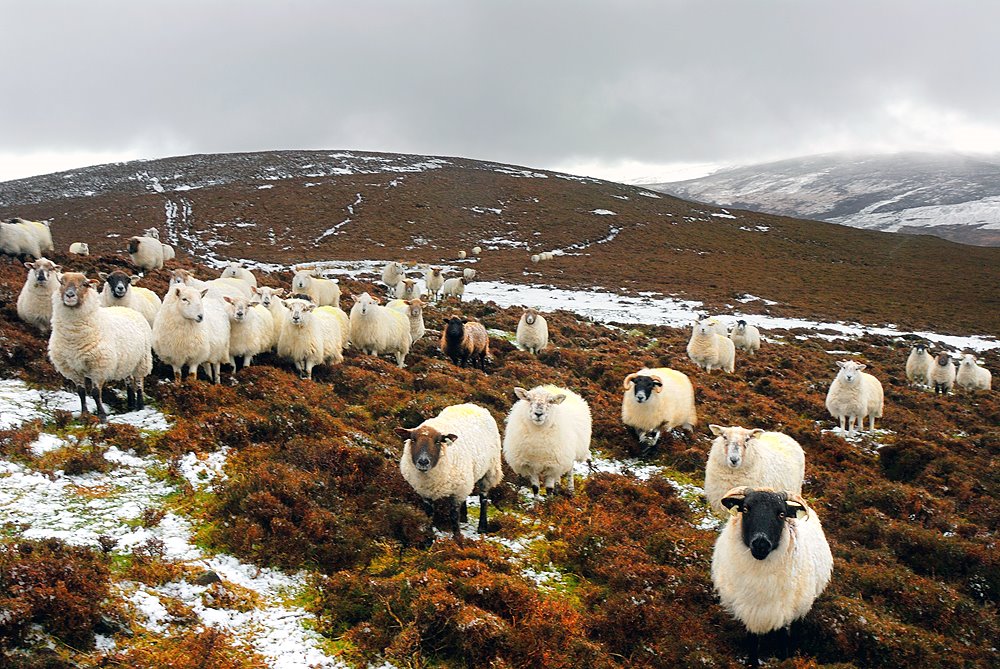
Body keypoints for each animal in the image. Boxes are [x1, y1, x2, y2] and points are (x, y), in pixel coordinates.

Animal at [48, 270, 153, 418]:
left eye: (84, 284)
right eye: (61, 283)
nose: (69, 295)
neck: (73, 338)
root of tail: (126, 309)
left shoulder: (99, 366)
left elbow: (95, 393)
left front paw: (102, 416)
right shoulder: (72, 369)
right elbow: (81, 392)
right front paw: (84, 415)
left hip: (142, 360)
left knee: (139, 383)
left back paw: (140, 406)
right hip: (127, 360)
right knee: (128, 381)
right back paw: (131, 404)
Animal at [390, 402, 500, 536]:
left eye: (437, 441)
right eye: (413, 439)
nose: (423, 462)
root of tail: (472, 405)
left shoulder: (457, 493)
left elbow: (454, 515)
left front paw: (458, 538)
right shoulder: (425, 492)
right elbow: (429, 515)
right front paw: (429, 537)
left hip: (489, 470)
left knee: (483, 498)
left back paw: (482, 527)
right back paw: (464, 517)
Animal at [712, 486, 836, 668]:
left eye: (781, 514)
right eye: (746, 509)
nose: (760, 544)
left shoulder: (783, 610)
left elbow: (782, 637)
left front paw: (785, 659)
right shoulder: (750, 610)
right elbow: (752, 641)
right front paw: (753, 663)